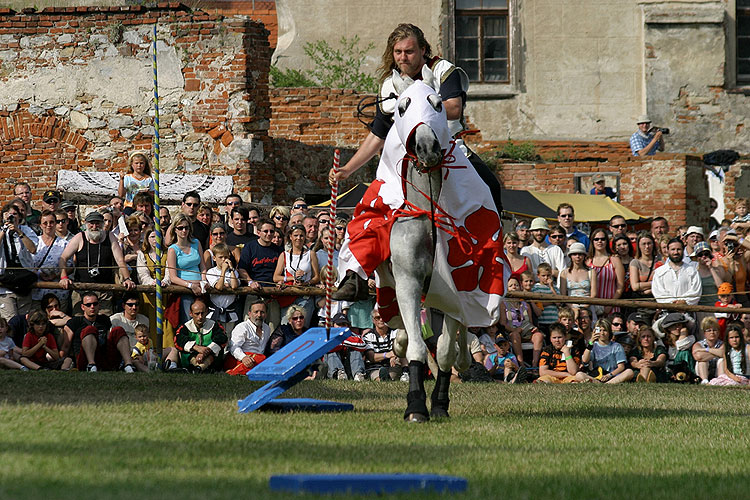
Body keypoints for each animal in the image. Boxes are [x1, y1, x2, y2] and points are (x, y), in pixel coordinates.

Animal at [376, 69, 506, 422]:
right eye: (402, 106)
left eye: (437, 103)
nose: (426, 147)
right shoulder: (407, 281)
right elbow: (419, 347)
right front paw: (415, 406)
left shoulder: (454, 286)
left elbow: (445, 350)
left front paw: (439, 403)